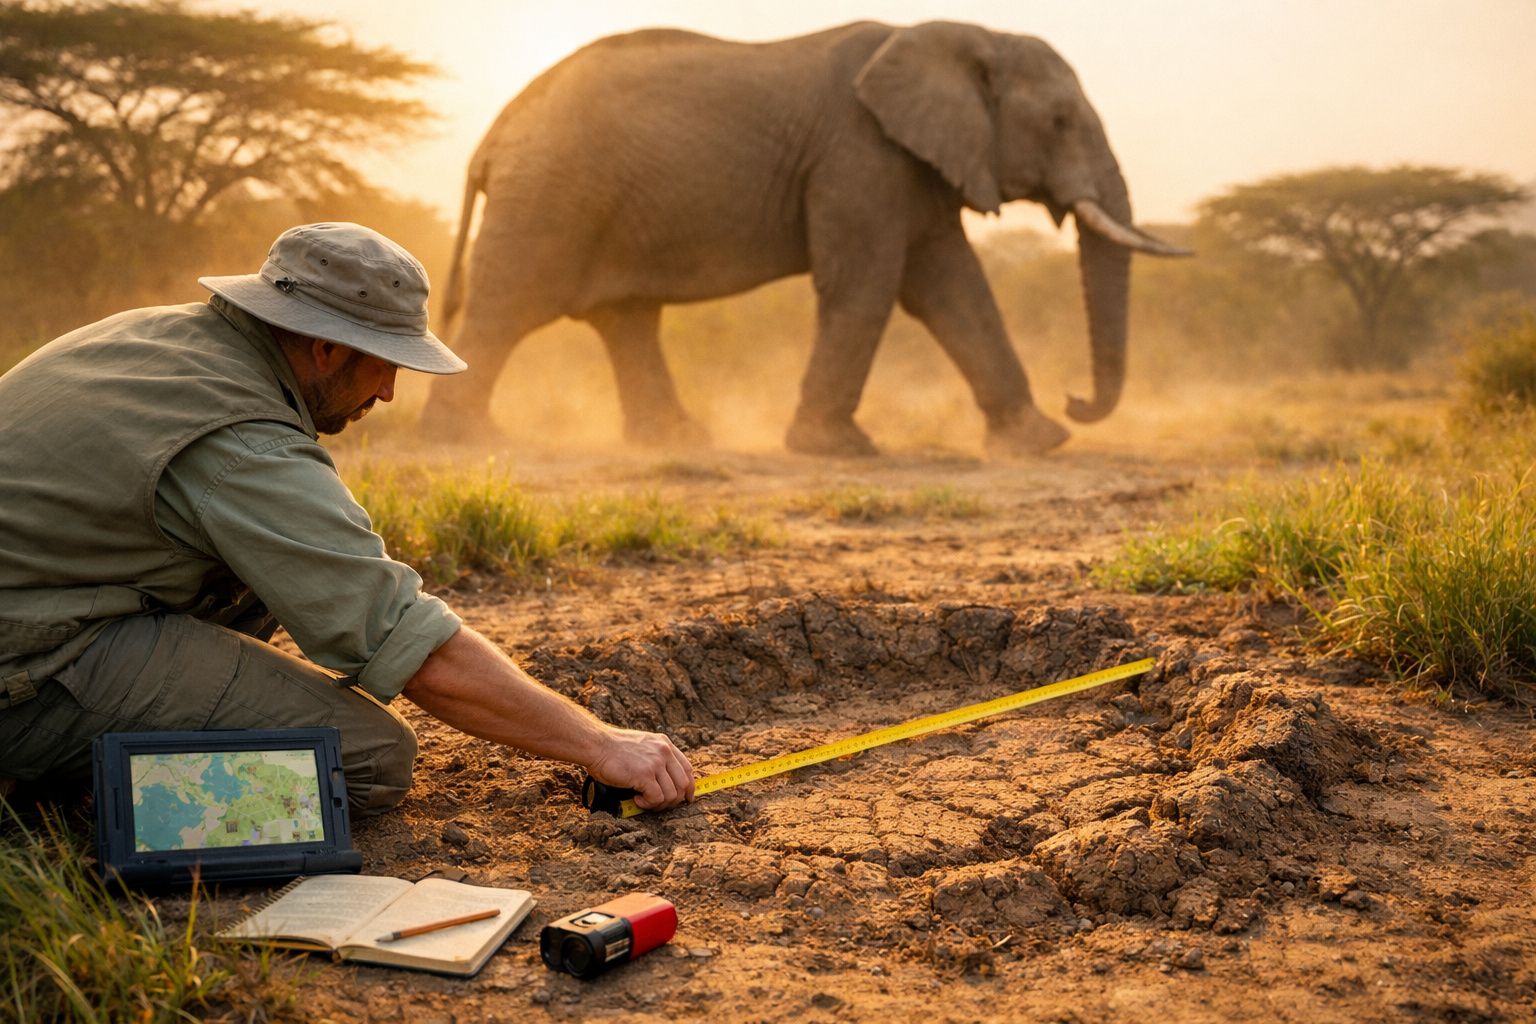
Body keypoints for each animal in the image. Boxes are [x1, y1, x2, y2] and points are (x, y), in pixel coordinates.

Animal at [425, 20, 1189, 456]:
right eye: (1059, 121)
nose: (1076, 398)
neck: (966, 33)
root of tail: (492, 136)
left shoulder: (906, 163)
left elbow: (951, 287)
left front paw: (1040, 441)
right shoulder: (859, 153)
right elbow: (869, 284)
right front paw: (839, 450)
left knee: (626, 319)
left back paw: (679, 443)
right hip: (549, 198)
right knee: (509, 305)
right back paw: (470, 441)